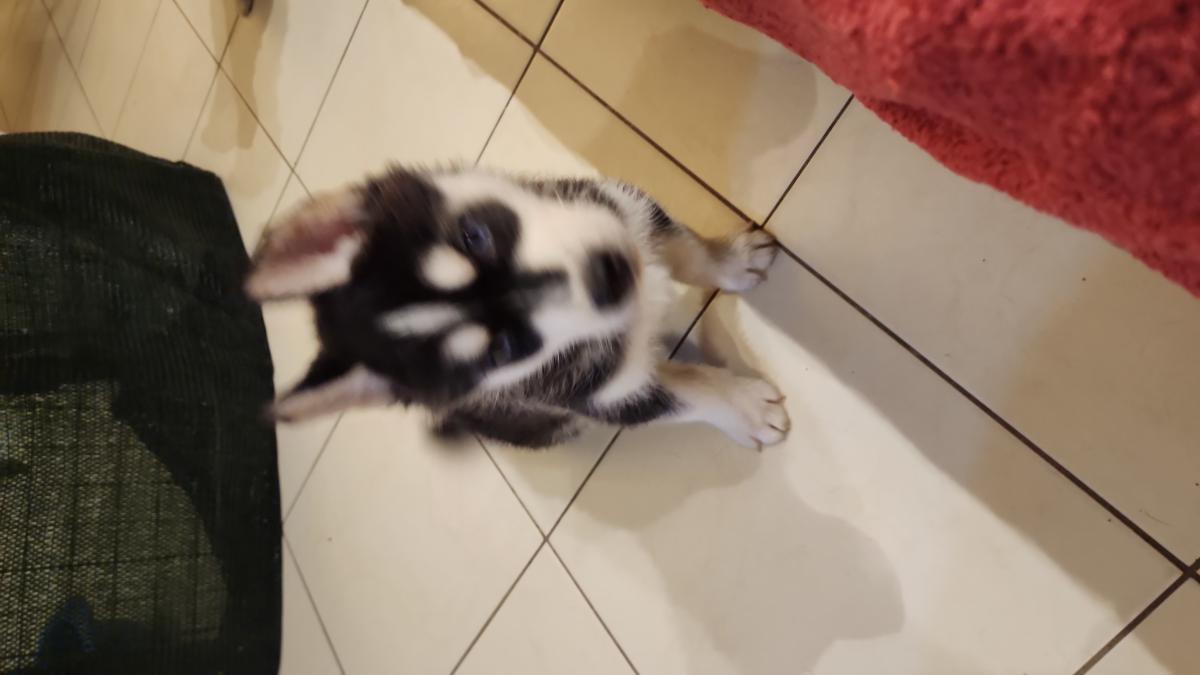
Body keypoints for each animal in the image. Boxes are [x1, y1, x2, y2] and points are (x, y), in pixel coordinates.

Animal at [245, 166, 790, 450]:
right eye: (501, 351)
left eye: (473, 236)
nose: (611, 275)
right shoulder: (601, 397)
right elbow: (688, 394)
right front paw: (746, 408)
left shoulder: (622, 207)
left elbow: (689, 251)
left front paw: (734, 260)